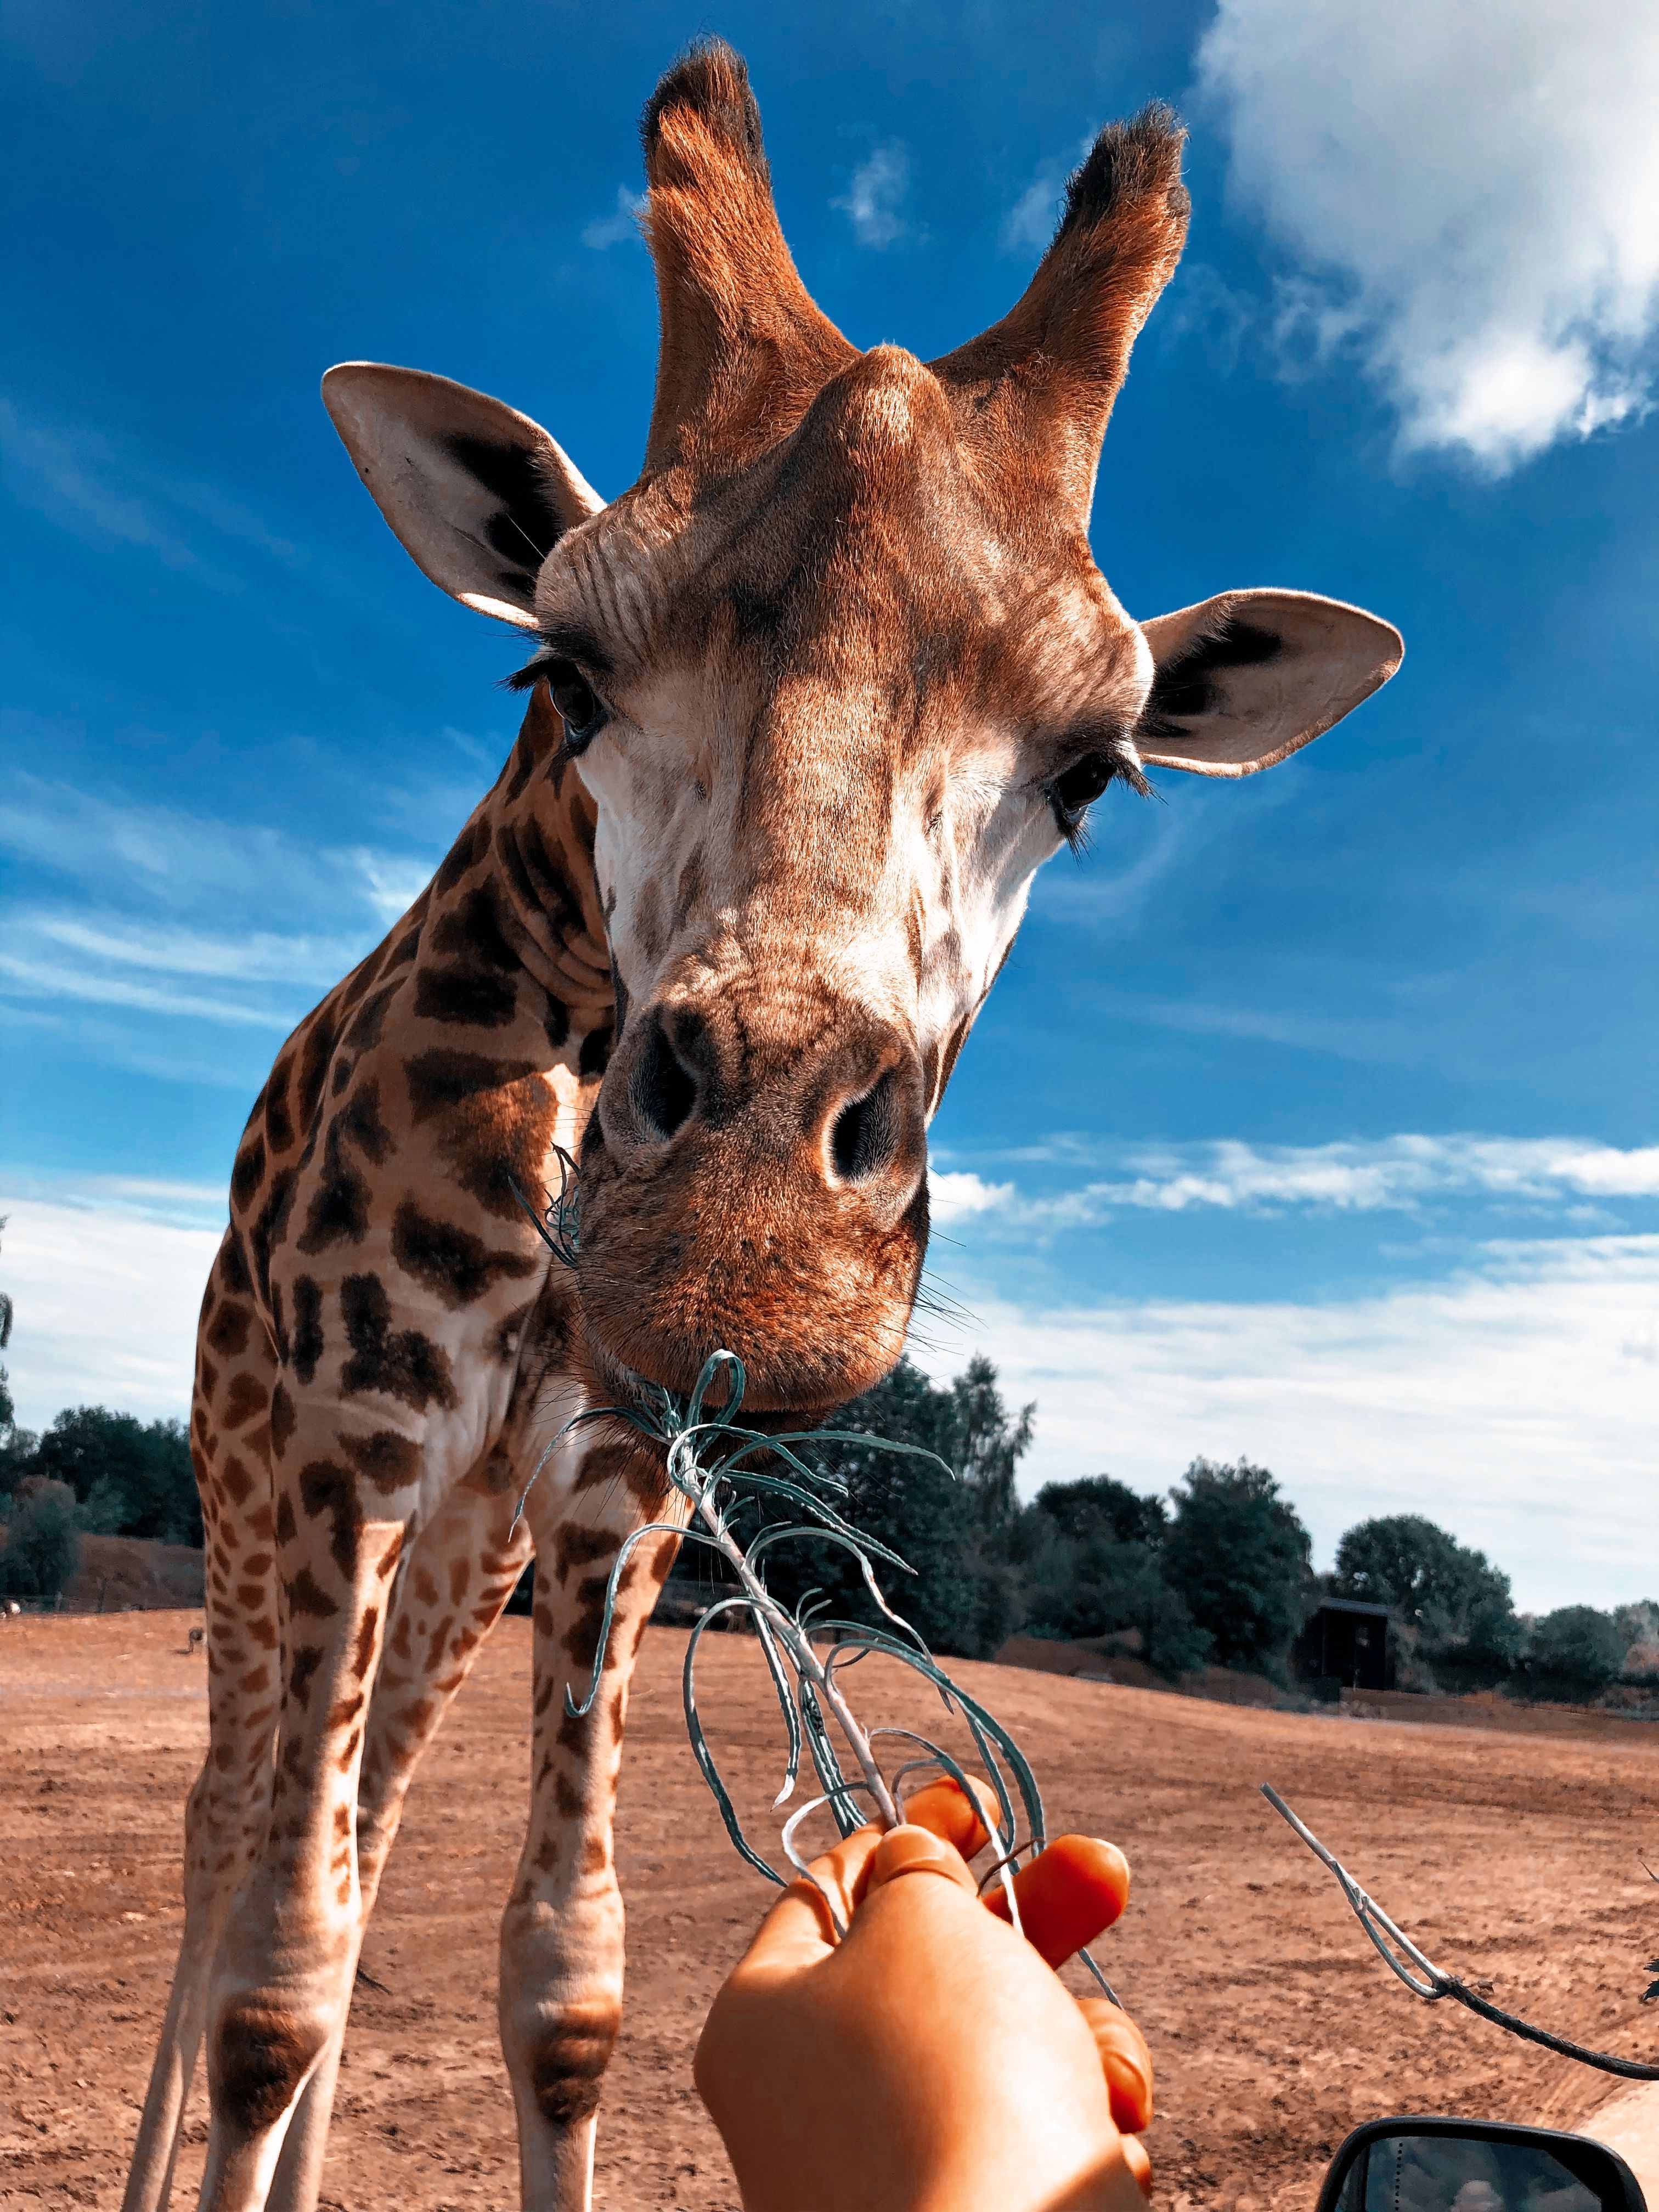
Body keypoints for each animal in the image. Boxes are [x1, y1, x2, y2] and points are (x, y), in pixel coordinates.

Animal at [124, 40, 1402, 2212]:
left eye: (1093, 771)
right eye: (559, 666)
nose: (742, 1260)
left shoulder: (604, 1492)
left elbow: (562, 1981)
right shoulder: (361, 1438)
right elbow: (272, 1990)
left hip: (455, 1556)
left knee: (364, 1837)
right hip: (250, 1480)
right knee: (234, 1839)